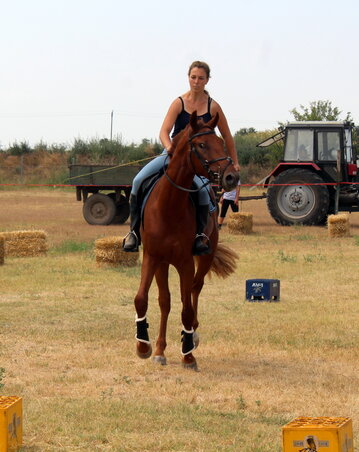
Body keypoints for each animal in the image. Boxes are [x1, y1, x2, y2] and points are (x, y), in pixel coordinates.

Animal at [134, 111, 240, 370]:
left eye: (221, 142)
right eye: (201, 145)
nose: (231, 177)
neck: (169, 205)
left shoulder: (185, 262)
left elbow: (187, 309)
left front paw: (188, 354)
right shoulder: (154, 257)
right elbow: (146, 299)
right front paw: (145, 346)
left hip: (205, 257)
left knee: (194, 290)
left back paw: (192, 335)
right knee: (166, 301)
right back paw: (161, 348)